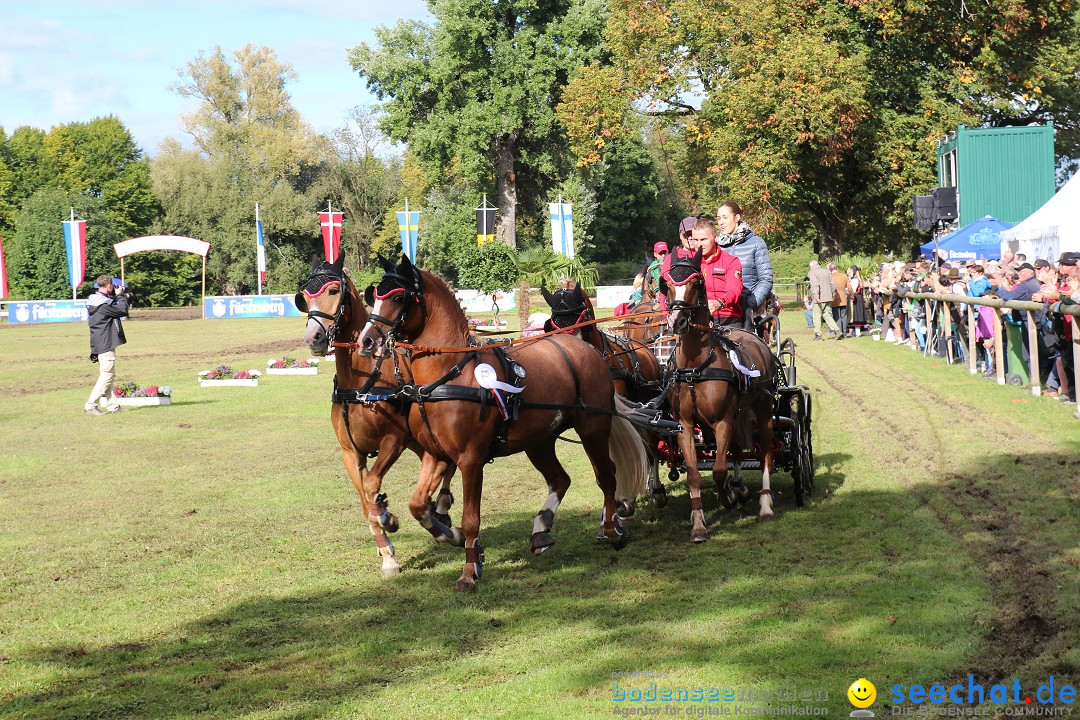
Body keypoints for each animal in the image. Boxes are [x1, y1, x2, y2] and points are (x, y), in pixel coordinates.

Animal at [293, 255, 453, 578]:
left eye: (333, 291)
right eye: (304, 295)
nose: (314, 338)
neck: (360, 382)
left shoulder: (394, 440)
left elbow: (371, 486)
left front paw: (388, 519)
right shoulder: (350, 453)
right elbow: (365, 501)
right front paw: (386, 549)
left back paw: (439, 508)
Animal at [360, 253, 648, 591]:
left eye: (397, 296)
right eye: (375, 295)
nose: (366, 341)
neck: (450, 373)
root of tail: (588, 351)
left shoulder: (471, 459)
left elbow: (471, 518)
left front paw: (469, 571)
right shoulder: (436, 454)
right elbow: (418, 505)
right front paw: (452, 535)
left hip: (593, 429)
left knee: (607, 476)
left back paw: (612, 529)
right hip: (539, 442)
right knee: (560, 480)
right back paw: (542, 529)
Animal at [656, 250, 777, 537]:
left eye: (697, 282)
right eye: (665, 284)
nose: (677, 321)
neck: (695, 367)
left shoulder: (722, 421)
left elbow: (720, 470)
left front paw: (727, 498)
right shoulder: (685, 425)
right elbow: (693, 474)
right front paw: (698, 523)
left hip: (763, 409)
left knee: (765, 452)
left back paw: (764, 504)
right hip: (738, 414)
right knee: (738, 450)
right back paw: (740, 487)